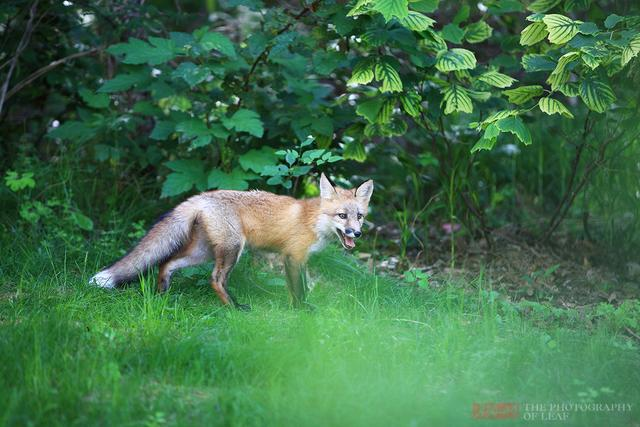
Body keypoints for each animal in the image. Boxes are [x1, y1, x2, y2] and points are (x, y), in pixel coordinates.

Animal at [87, 174, 372, 310]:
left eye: (359, 216)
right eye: (342, 216)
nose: (356, 233)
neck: (313, 220)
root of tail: (202, 196)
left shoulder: (299, 259)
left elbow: (299, 288)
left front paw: (300, 308)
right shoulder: (292, 256)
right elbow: (298, 290)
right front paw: (303, 312)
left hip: (202, 252)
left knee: (166, 263)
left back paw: (161, 294)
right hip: (233, 249)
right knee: (215, 279)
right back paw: (234, 308)